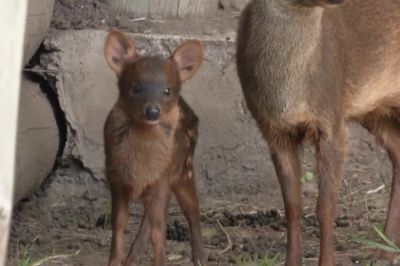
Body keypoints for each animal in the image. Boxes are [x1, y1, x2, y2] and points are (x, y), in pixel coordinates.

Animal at [103, 30, 208, 264]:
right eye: (136, 87)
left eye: (167, 90)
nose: (152, 111)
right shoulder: (116, 179)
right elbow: (119, 225)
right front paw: (115, 261)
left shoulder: (162, 179)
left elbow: (159, 232)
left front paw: (160, 262)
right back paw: (132, 259)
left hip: (184, 169)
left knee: (193, 211)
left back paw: (200, 258)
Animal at [239, 0, 400, 266]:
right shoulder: (274, 132)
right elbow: (292, 205)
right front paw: (291, 261)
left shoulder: (331, 120)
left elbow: (325, 207)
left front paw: (327, 261)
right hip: (377, 112)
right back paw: (384, 252)